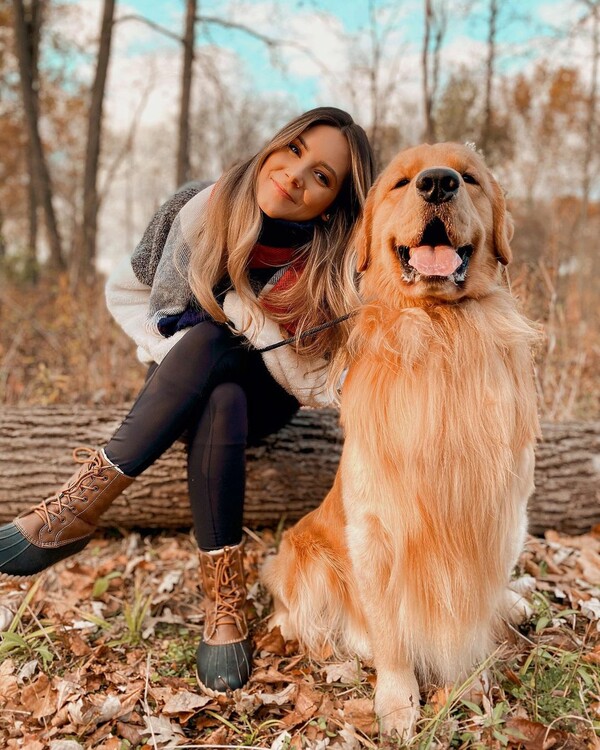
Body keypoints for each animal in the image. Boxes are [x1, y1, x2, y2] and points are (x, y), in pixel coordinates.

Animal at [262, 144, 540, 744]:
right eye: (401, 182)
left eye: (470, 178)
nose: (438, 183)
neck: (439, 332)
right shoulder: (375, 530)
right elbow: (391, 635)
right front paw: (397, 702)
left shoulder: (498, 511)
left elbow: (472, 601)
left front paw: (467, 684)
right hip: (307, 559)